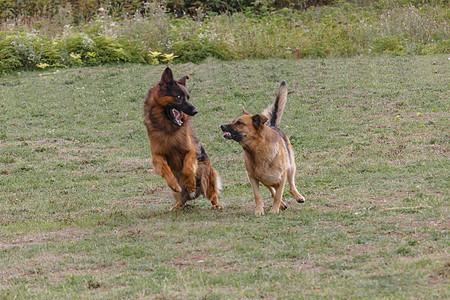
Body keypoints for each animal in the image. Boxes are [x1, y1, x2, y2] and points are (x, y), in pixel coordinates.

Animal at [144, 67, 221, 210]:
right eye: (179, 97)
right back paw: (177, 205)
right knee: (182, 197)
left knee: (211, 193)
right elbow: (166, 170)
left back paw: (215, 204)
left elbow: (188, 168)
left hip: (205, 172)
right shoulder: (157, 156)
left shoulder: (191, 150)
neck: (169, 129)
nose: (196, 111)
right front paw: (173, 184)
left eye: (188, 97)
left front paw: (190, 184)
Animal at [221, 81, 306, 214]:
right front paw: (259, 211)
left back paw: (298, 197)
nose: (222, 126)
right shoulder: (253, 177)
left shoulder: (282, 175)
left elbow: (278, 194)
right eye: (234, 121)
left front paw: (274, 210)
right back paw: (282, 203)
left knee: (291, 186)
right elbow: (259, 195)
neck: (256, 149)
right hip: (264, 177)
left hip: (291, 166)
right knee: (272, 189)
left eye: (239, 123)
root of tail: (273, 125)